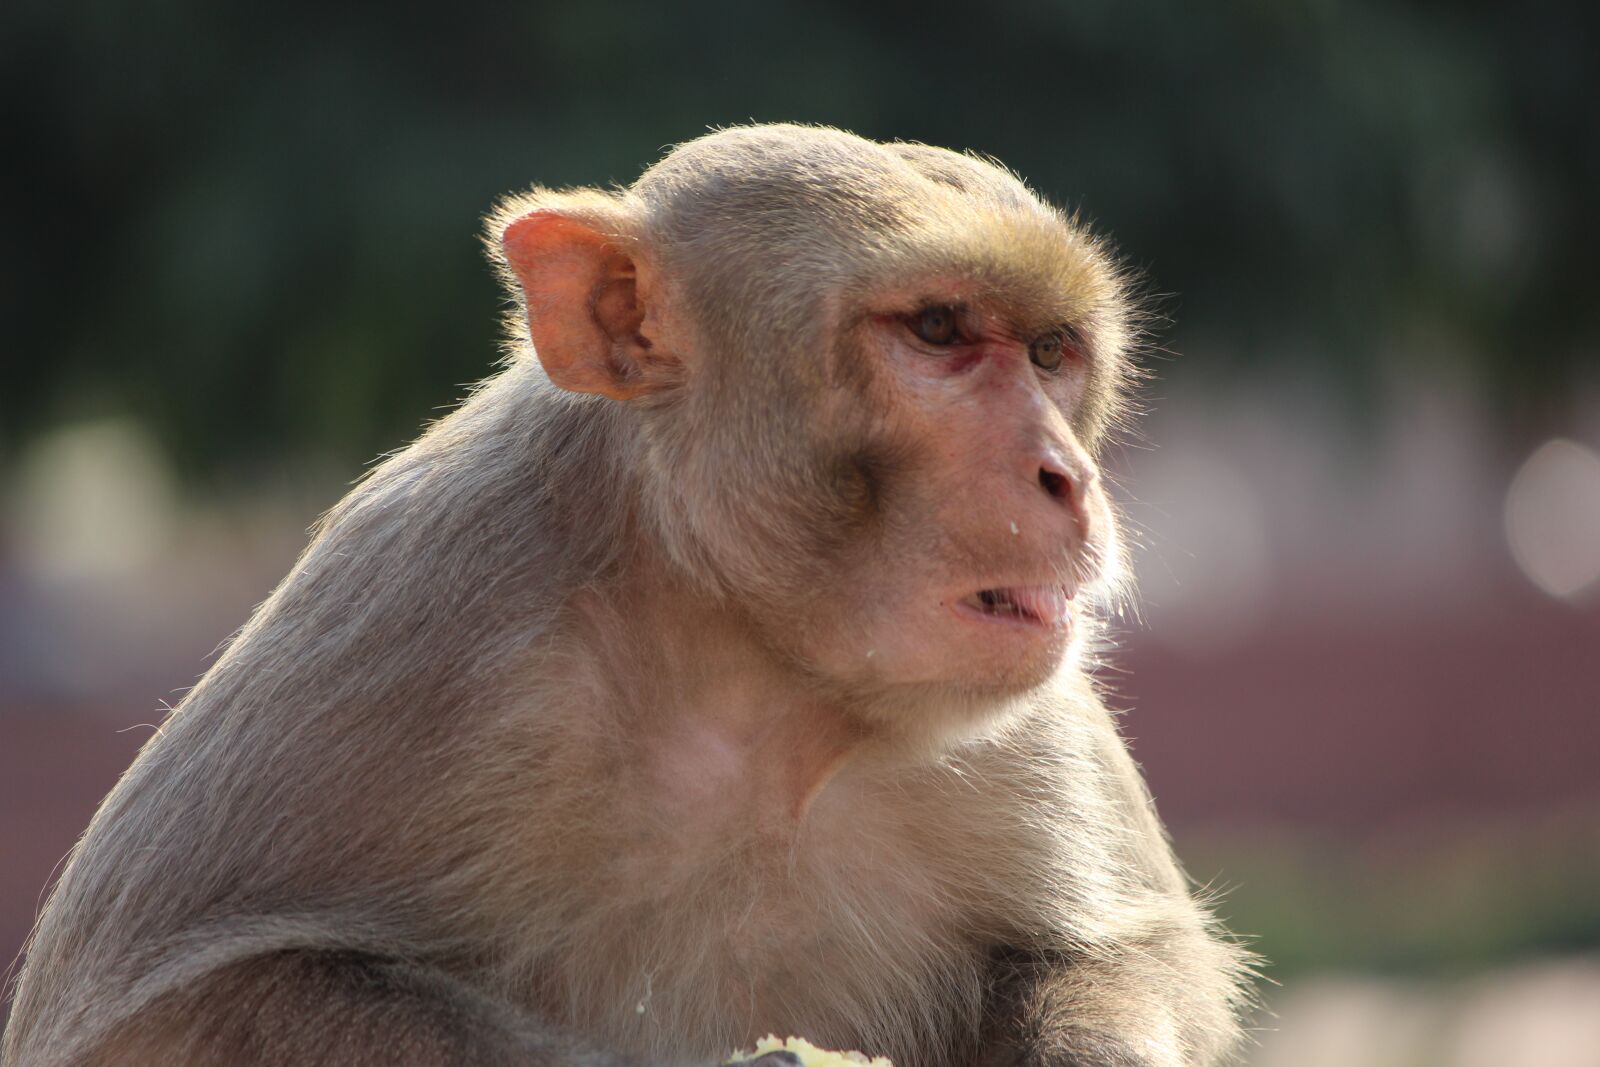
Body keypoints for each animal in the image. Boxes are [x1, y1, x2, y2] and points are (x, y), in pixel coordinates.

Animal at [2, 124, 1252, 1067]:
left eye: (1050, 353)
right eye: (938, 330)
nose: (1065, 474)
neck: (751, 678)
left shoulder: (1019, 727)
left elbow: (1127, 951)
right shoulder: (418, 615)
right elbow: (154, 1003)